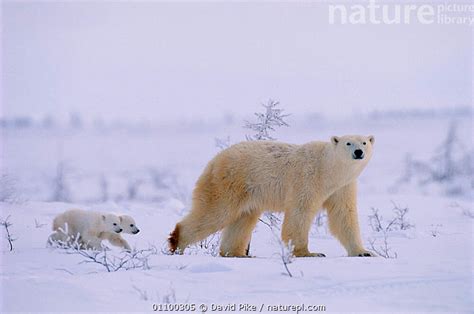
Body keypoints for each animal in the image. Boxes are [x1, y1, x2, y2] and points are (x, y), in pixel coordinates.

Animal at [169, 136, 374, 258]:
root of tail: (214, 160)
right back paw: (178, 243)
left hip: (247, 192)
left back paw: (239, 254)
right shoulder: (307, 178)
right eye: (348, 143)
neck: (328, 169)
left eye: (364, 142)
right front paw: (309, 253)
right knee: (216, 212)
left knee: (242, 220)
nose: (358, 152)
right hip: (230, 182)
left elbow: (343, 215)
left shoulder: (342, 187)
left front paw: (364, 252)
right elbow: (300, 212)